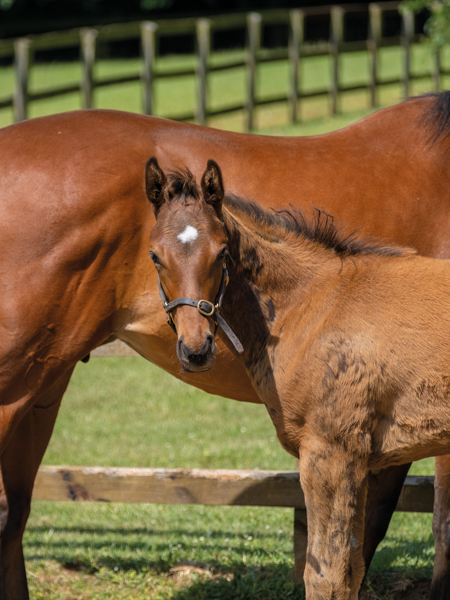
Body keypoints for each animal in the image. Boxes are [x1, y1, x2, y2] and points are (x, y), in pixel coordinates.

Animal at [2, 91, 450, 596]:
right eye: (153, 255)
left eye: (221, 253)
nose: (196, 348)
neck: (319, 299)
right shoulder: (343, 452)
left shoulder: (341, 450)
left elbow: (343, 568)